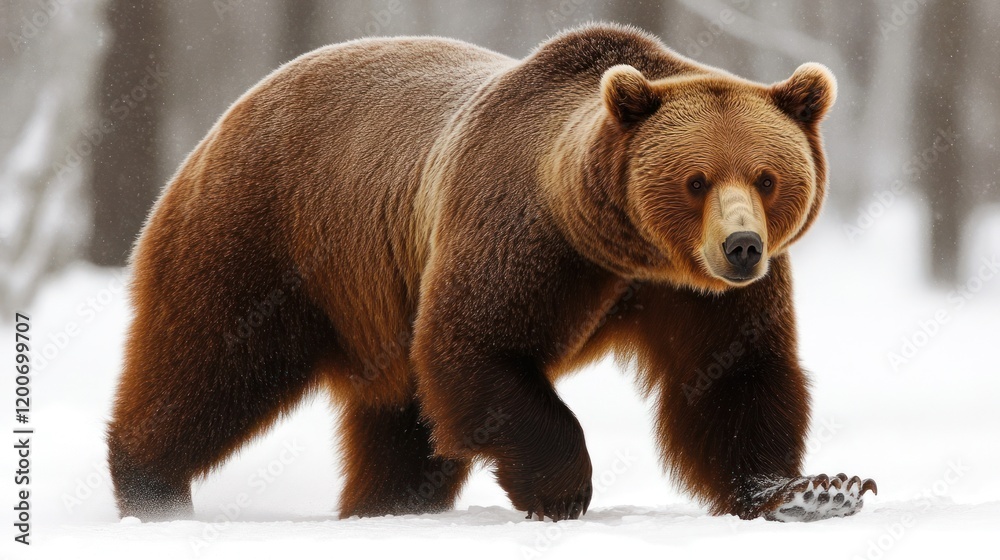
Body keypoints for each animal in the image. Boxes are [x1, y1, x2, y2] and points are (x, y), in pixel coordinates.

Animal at [107, 23, 876, 523]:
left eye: (767, 177)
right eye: (696, 180)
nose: (741, 246)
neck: (626, 246)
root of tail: (229, 113)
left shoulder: (696, 295)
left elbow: (736, 377)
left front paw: (816, 490)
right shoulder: (524, 234)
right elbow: (477, 345)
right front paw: (562, 490)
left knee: (399, 424)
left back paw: (384, 506)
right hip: (270, 239)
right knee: (210, 362)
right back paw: (150, 488)